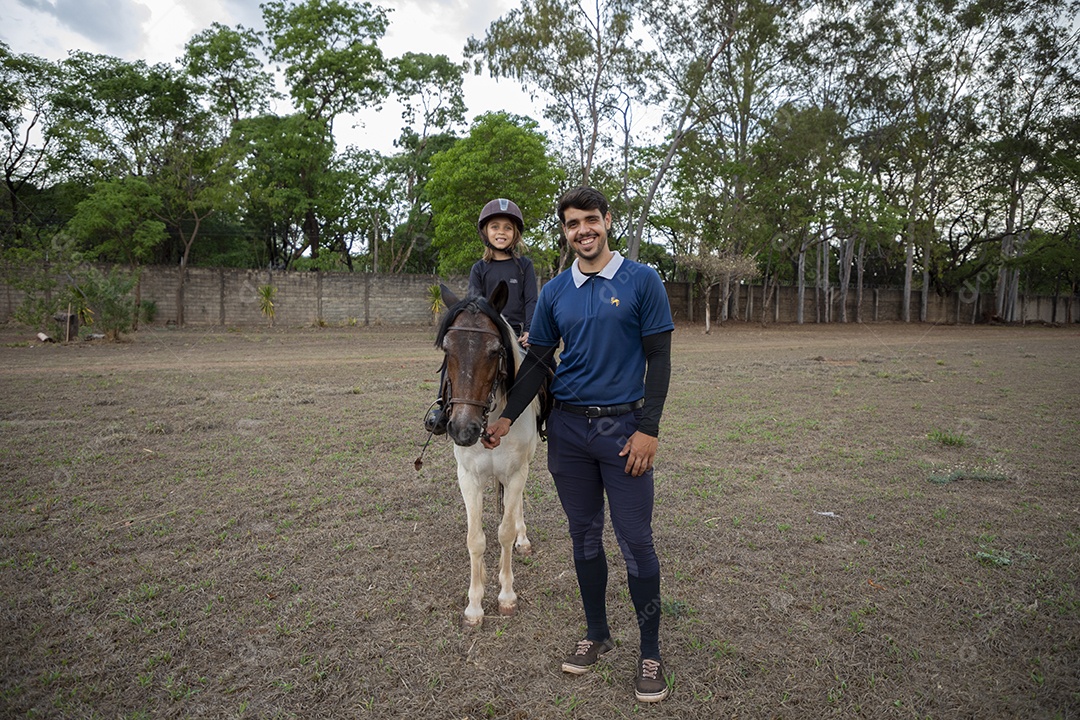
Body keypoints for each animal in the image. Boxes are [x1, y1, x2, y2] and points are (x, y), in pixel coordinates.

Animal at [432, 278, 540, 626]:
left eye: (495, 352)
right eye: (447, 350)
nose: (463, 430)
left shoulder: (517, 471)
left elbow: (504, 532)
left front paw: (506, 596)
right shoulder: (467, 477)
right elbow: (475, 539)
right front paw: (475, 604)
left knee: (516, 507)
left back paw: (523, 539)